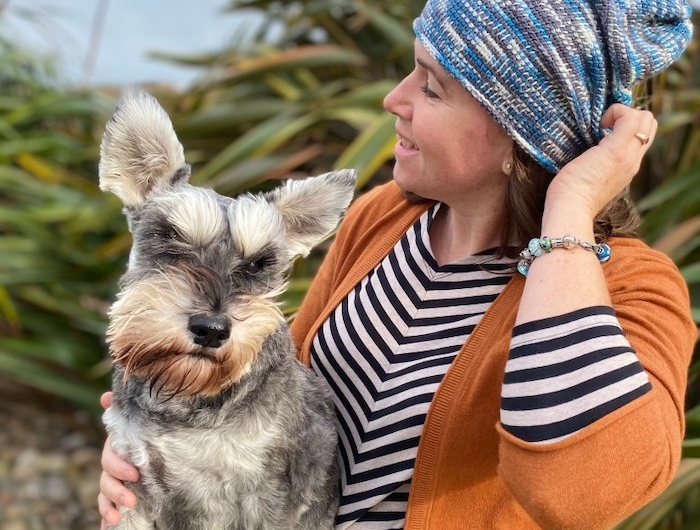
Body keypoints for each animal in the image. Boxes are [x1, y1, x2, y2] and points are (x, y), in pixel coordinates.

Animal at [100, 93, 356, 524]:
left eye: (257, 264)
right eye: (170, 236)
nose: (212, 329)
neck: (185, 401)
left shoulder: (266, 495)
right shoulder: (134, 485)